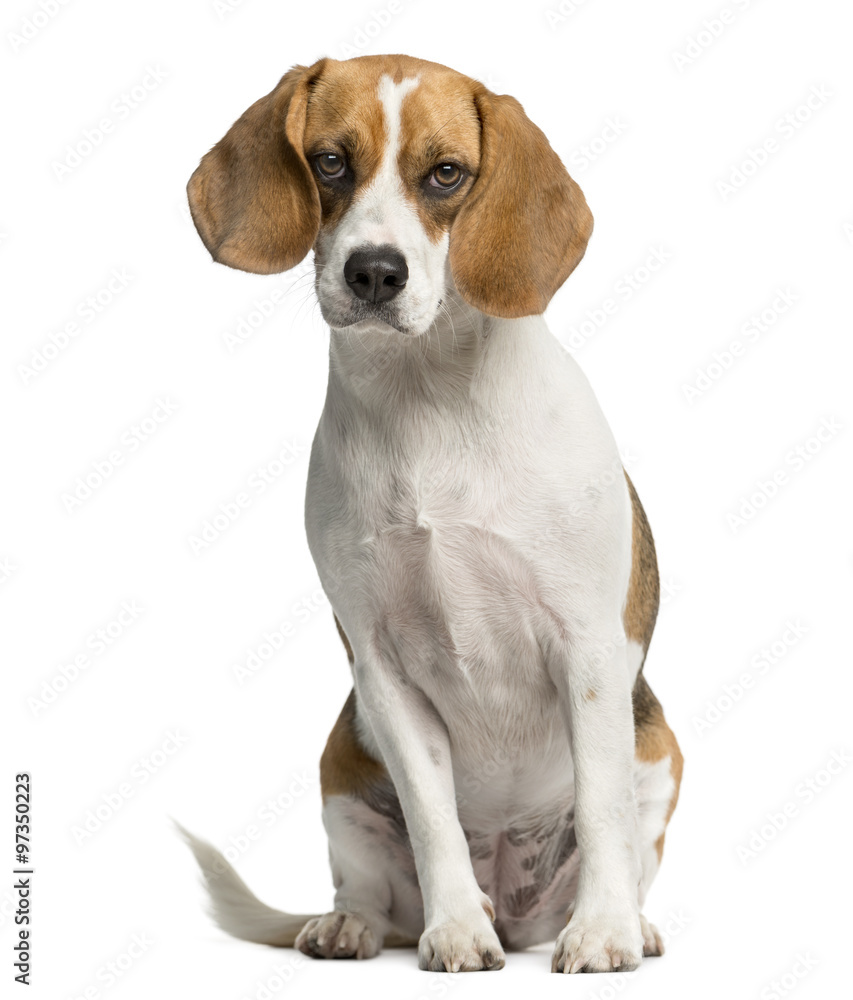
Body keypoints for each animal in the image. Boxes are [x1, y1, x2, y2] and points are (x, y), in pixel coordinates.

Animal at [180, 50, 680, 972]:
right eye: (329, 161)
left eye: (446, 173)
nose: (375, 272)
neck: (428, 403)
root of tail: (516, 908)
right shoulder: (381, 665)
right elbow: (431, 820)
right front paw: (454, 929)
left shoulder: (589, 652)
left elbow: (601, 814)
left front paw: (602, 933)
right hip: (339, 771)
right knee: (370, 886)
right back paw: (355, 925)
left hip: (658, 751)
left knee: (626, 842)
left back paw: (628, 920)